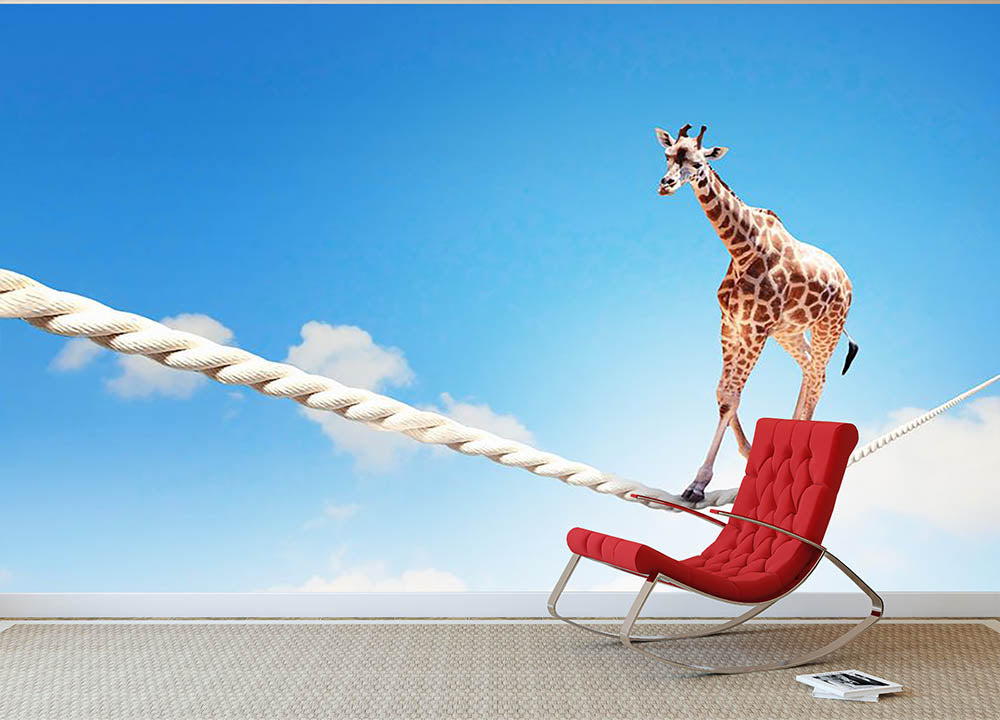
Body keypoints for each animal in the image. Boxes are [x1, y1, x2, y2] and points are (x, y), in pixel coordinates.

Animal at [655, 123, 859, 503]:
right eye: (667, 155)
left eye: (697, 161)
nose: (666, 184)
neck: (741, 248)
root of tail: (847, 281)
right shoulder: (731, 323)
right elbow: (723, 393)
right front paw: (750, 452)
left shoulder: (757, 327)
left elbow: (730, 397)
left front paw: (698, 483)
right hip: (790, 332)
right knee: (811, 370)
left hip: (829, 326)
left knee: (818, 376)